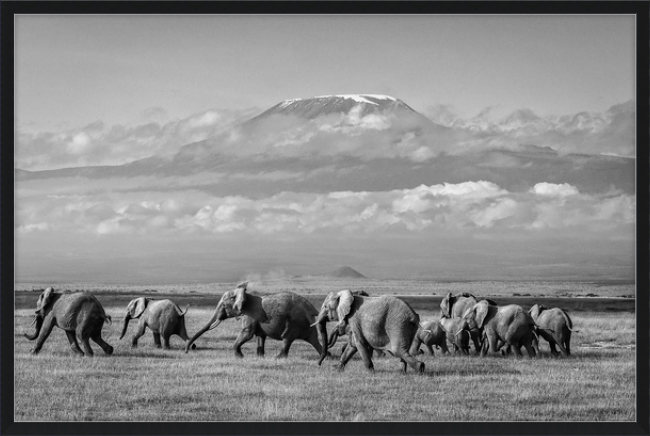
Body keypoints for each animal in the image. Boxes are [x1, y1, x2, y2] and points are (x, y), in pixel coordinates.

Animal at [185, 282, 322, 358]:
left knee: (287, 338)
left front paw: (240, 357)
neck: (245, 295)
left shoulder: (250, 315)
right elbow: (260, 336)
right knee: (313, 339)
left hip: (296, 322)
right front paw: (259, 358)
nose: (188, 350)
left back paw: (278, 358)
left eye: (223, 306)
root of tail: (310, 308)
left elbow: (247, 333)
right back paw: (326, 357)